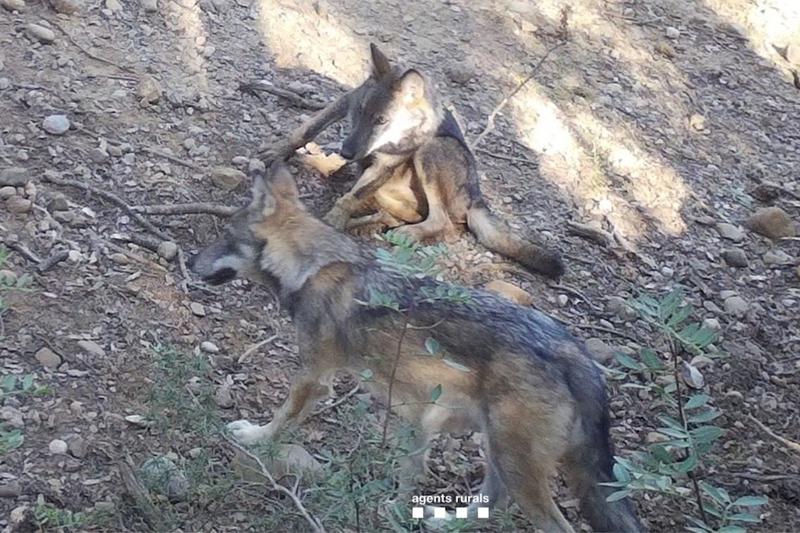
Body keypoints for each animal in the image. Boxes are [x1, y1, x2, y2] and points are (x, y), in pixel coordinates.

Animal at [189, 163, 641, 532]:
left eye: (226, 238)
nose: (191, 262)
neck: (313, 266)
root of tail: (575, 352)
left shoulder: (314, 377)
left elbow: (281, 419)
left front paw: (254, 437)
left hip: (516, 466)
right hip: (495, 452)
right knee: (489, 503)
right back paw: (443, 523)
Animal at [261, 44, 564, 279]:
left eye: (381, 120)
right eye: (360, 111)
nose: (346, 152)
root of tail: (477, 198)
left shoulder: (386, 164)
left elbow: (350, 198)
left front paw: (333, 221)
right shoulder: (344, 102)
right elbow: (307, 128)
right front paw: (277, 151)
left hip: (430, 150)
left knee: (443, 223)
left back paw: (400, 232)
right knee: (401, 213)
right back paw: (368, 219)